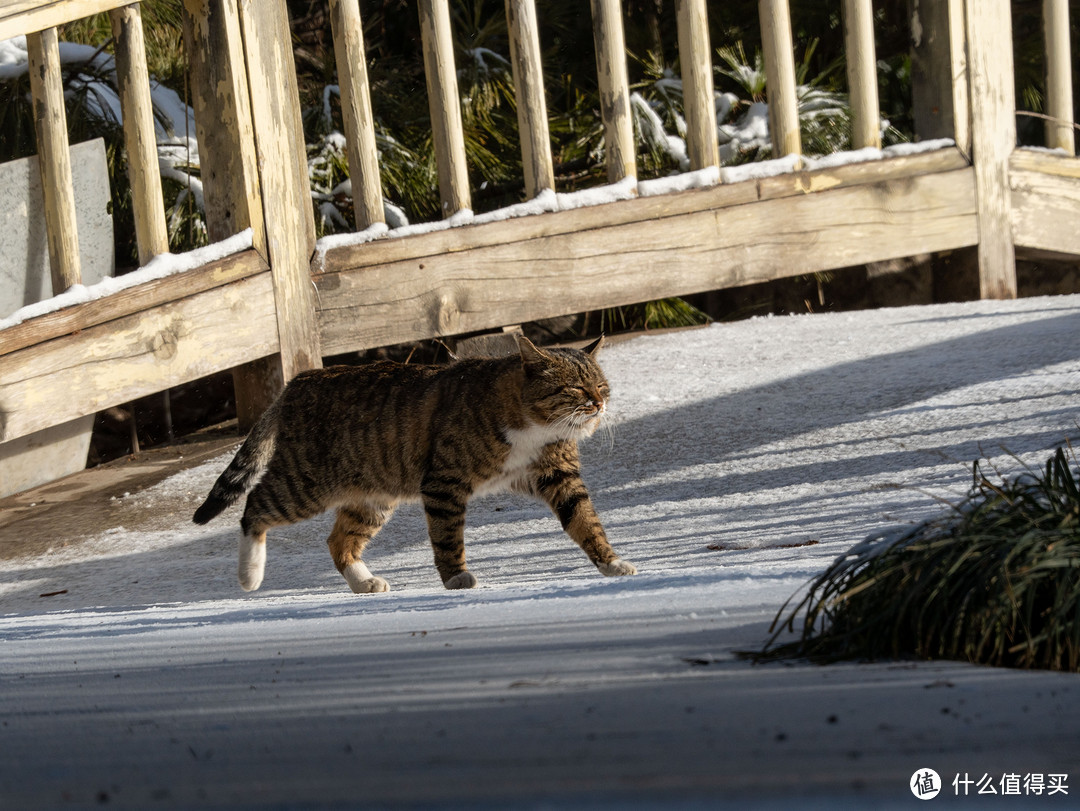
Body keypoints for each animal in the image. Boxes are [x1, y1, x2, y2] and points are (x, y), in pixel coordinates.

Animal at [193, 332, 630, 591]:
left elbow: (585, 520)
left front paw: (611, 564)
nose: (599, 403)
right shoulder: (444, 482)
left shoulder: (559, 476)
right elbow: (447, 536)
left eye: (602, 385)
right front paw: (456, 577)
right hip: (305, 484)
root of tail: (298, 381)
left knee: (338, 541)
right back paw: (249, 576)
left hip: (371, 498)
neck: (535, 426)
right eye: (575, 388)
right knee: (255, 507)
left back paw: (364, 582)